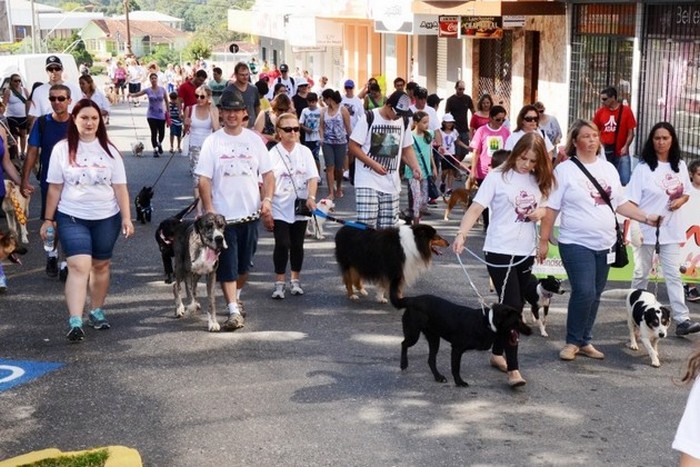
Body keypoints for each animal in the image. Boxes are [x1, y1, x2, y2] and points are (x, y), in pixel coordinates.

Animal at [388, 288, 532, 388]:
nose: (530, 331)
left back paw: (438, 377)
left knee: (430, 360)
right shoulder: (457, 348)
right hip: (414, 334)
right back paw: (404, 364)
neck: (487, 322)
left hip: (434, 338)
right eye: (517, 321)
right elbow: (455, 368)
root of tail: (413, 299)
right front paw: (459, 382)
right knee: (404, 344)